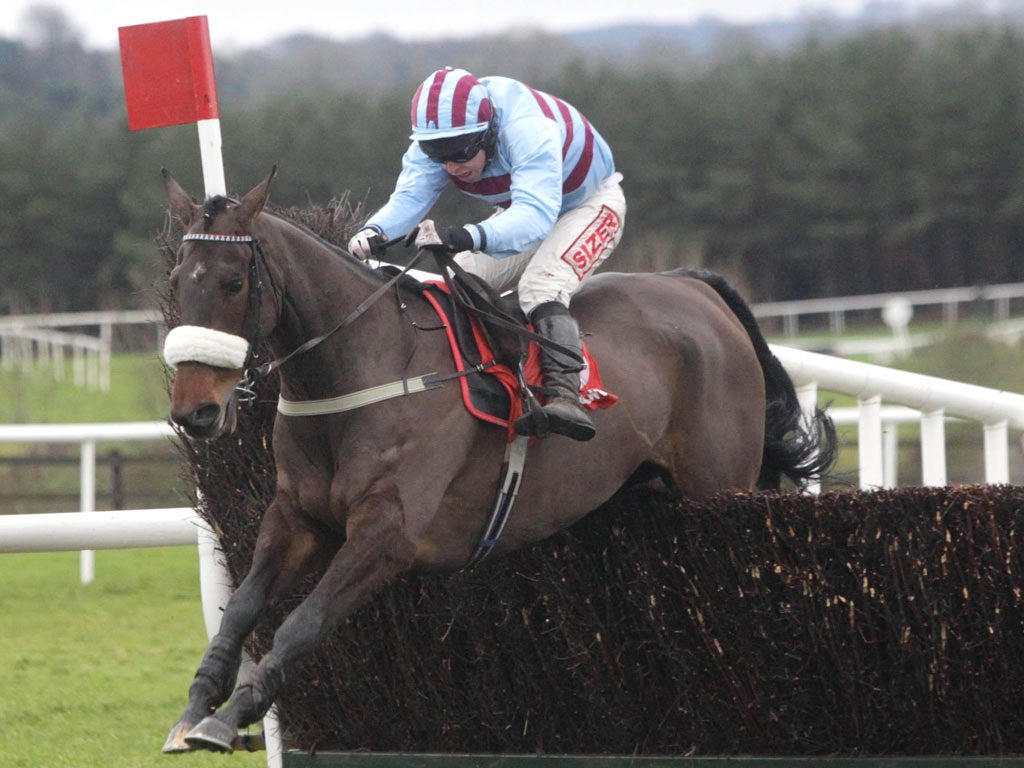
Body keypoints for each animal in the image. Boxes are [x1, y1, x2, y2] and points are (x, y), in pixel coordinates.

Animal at [157, 169, 831, 757]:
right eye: (179, 281)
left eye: (233, 282)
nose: (196, 411)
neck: (364, 367)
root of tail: (693, 284)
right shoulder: (296, 517)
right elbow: (243, 608)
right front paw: (195, 709)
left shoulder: (388, 533)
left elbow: (303, 623)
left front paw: (228, 717)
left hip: (720, 485)